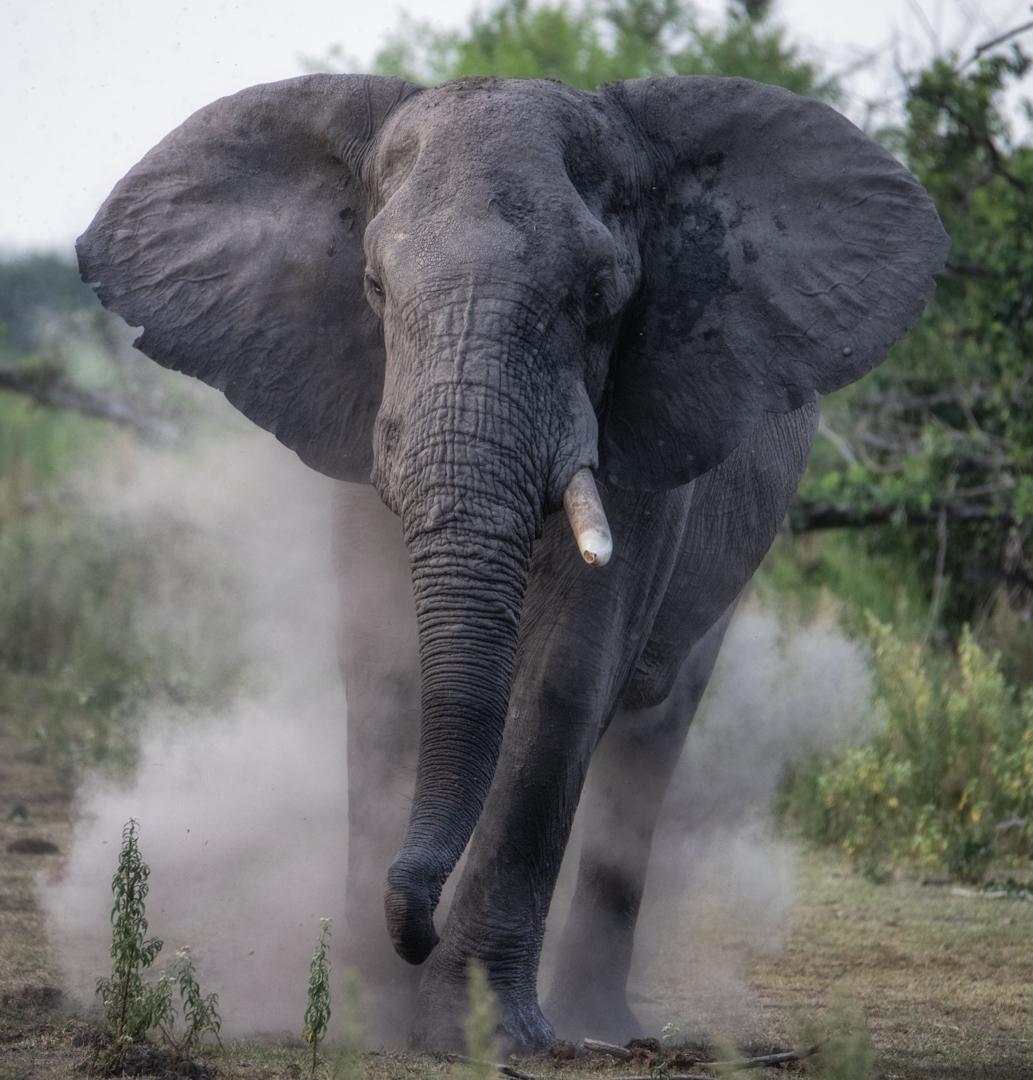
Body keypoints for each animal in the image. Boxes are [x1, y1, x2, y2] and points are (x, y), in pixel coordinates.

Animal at [77, 73, 948, 1054]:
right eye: (372, 287)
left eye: (602, 295)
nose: (413, 925)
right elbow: (383, 673)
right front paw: (370, 1022)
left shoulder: (638, 440)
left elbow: (562, 681)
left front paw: (480, 1033)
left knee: (652, 734)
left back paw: (599, 1023)